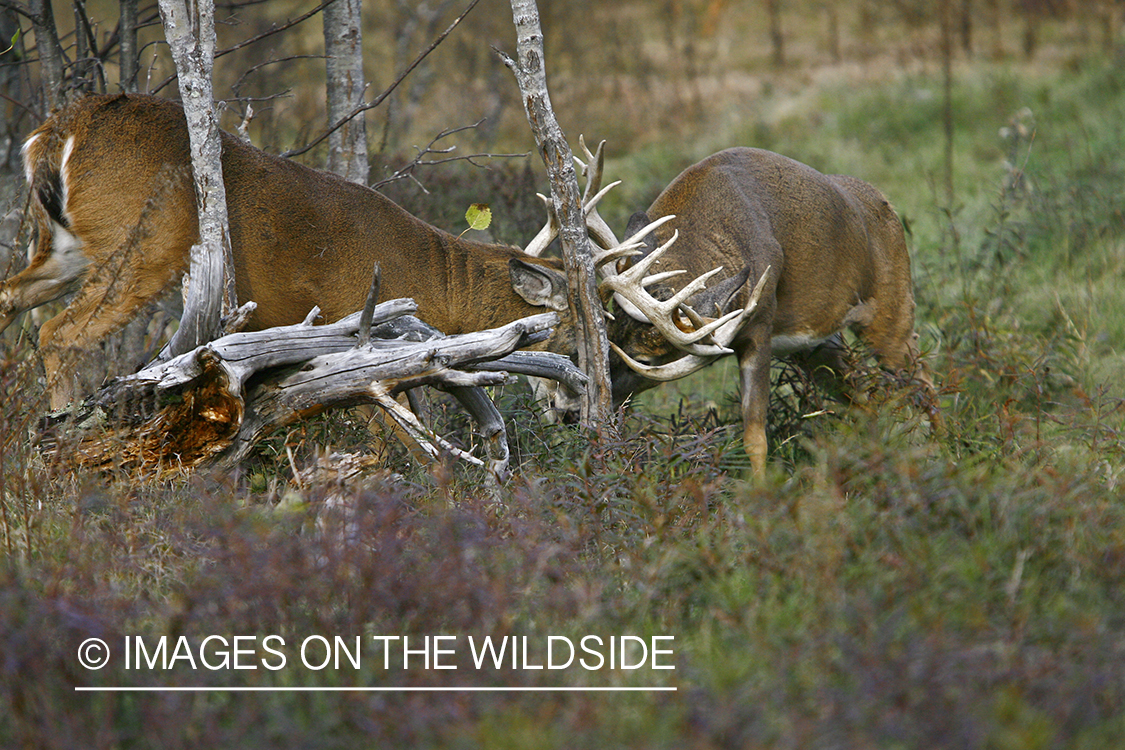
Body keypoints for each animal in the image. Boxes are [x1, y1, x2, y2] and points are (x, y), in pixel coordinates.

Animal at [0, 95, 603, 411]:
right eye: (576, 324)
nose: (576, 410)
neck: (435, 282)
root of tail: (55, 133)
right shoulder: (362, 332)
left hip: (64, 247)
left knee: (11, 297)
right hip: (143, 244)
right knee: (59, 334)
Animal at [598, 147, 931, 474]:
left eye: (642, 360)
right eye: (609, 339)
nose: (604, 399)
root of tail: (886, 203)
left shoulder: (760, 323)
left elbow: (755, 437)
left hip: (891, 307)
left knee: (921, 377)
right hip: (817, 345)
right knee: (864, 395)